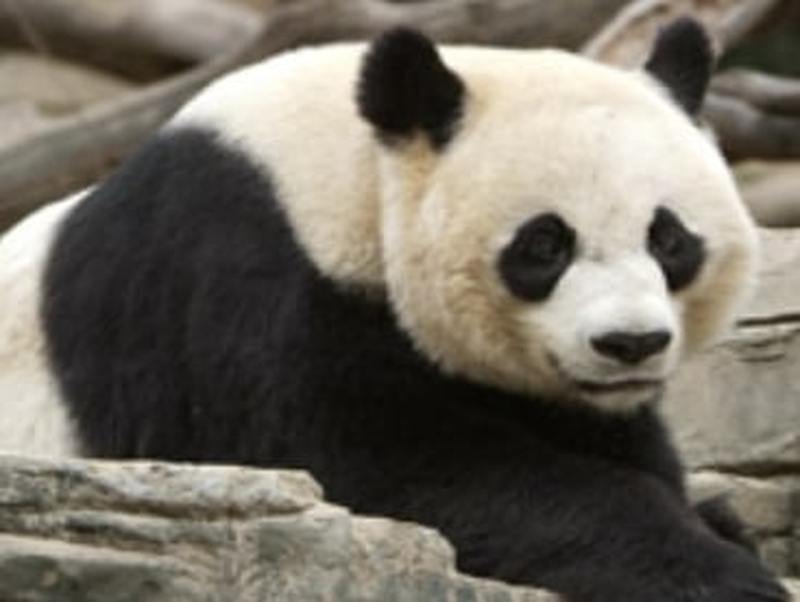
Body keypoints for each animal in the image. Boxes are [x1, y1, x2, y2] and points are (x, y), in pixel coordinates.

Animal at [0, 17, 788, 602]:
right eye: (544, 244)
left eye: (669, 238)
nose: (631, 343)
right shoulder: (239, 283)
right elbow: (373, 465)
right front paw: (717, 572)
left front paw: (717, 523)